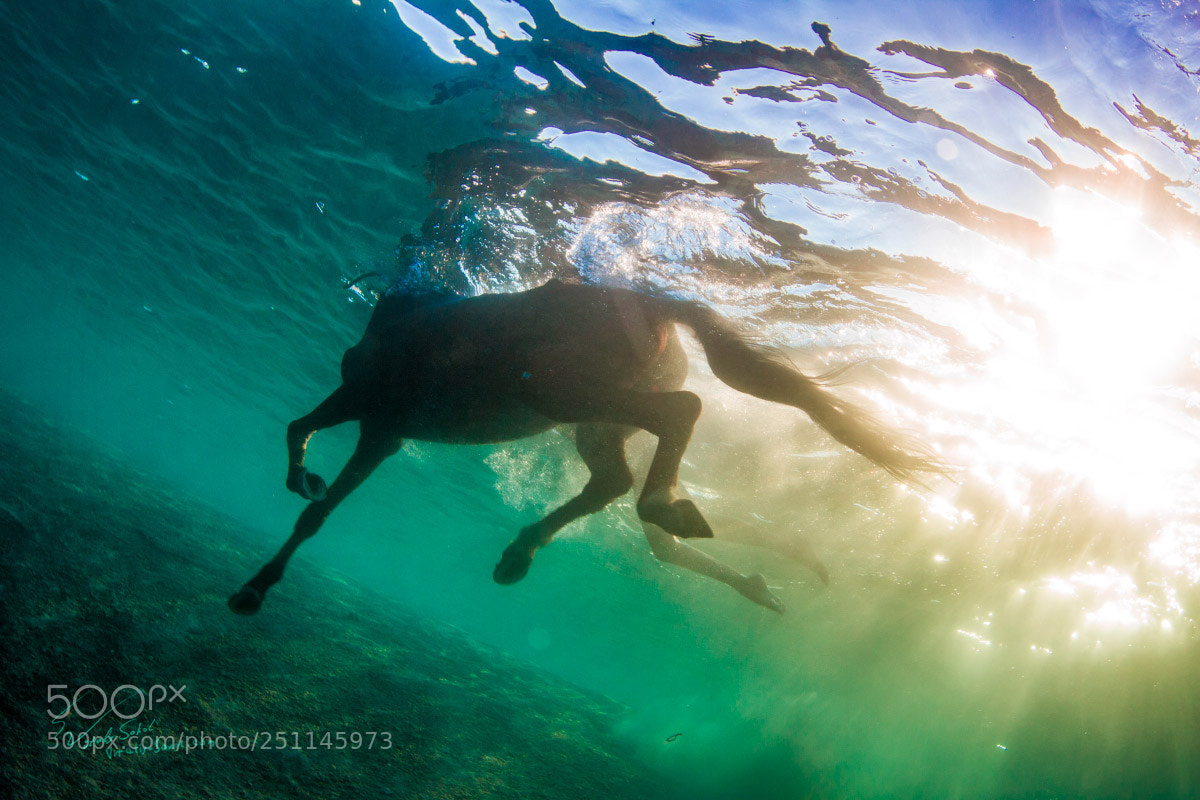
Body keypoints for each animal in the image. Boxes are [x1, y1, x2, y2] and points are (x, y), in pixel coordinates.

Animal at [228, 279, 943, 615]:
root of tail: (652, 303)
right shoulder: (384, 433)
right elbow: (317, 515)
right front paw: (258, 585)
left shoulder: (363, 406)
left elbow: (297, 429)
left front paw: (289, 504)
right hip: (589, 416)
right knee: (615, 480)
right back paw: (524, 552)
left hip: (560, 393)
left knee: (677, 419)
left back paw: (661, 508)